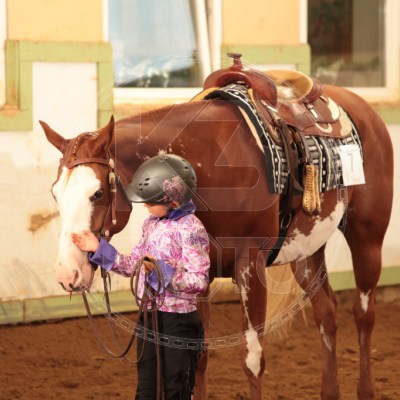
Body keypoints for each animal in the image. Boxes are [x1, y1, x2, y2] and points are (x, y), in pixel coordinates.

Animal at [40, 56, 393, 400]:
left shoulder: (251, 266)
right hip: (308, 249)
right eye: (55, 193)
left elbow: (252, 360)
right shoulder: (201, 275)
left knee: (364, 314)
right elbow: (199, 358)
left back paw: (366, 389)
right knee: (327, 314)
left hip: (367, 238)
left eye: (98, 193)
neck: (212, 164)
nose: (68, 273)